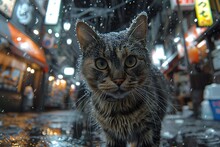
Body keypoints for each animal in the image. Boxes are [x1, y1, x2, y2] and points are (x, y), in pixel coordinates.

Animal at [75, 11, 168, 147]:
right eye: (101, 64)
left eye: (131, 61)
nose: (118, 80)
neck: (120, 111)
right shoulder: (111, 135)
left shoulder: (150, 129)